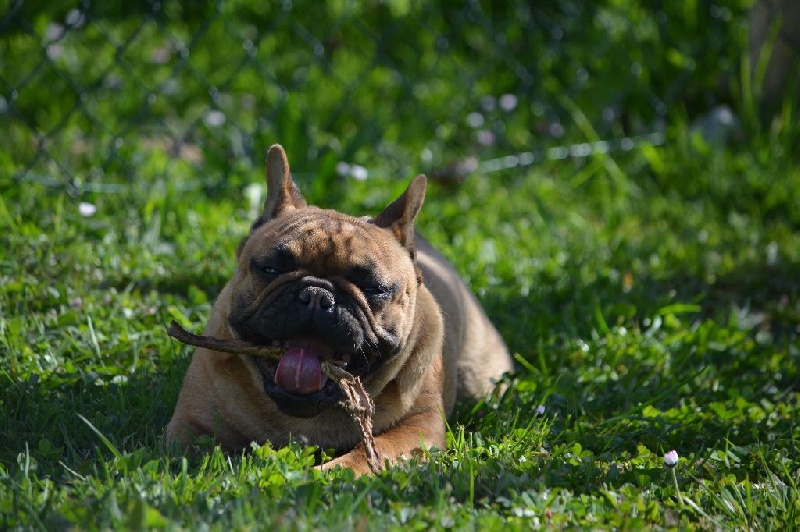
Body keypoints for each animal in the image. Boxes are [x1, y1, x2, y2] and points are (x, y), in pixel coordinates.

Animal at [166, 144, 512, 474]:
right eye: (271, 269)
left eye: (374, 288)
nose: (317, 295)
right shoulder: (192, 422)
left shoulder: (417, 429)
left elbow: (364, 456)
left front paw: (326, 474)